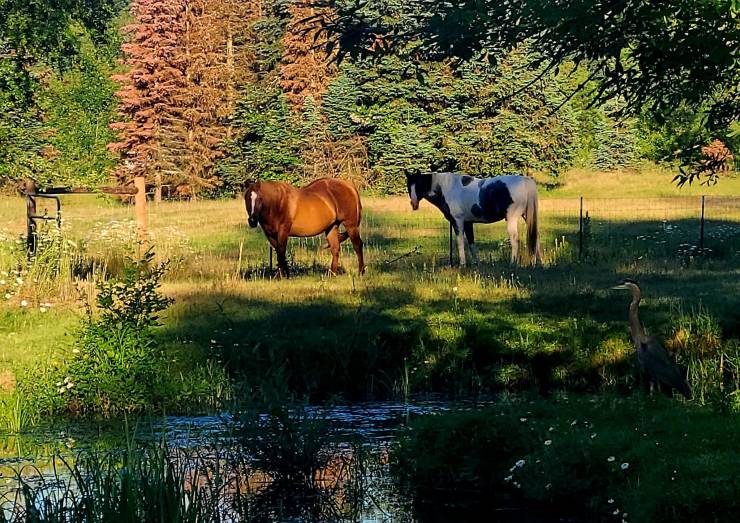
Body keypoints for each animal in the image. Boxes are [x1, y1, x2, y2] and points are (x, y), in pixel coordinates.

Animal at [405, 172, 542, 266]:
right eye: (408, 186)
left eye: (418, 185)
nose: (413, 204)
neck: (447, 188)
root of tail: (525, 180)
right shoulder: (468, 223)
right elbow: (471, 243)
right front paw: (476, 263)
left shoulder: (458, 222)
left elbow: (460, 242)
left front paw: (462, 264)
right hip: (527, 217)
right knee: (536, 237)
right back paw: (538, 263)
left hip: (511, 219)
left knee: (514, 240)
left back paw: (513, 263)